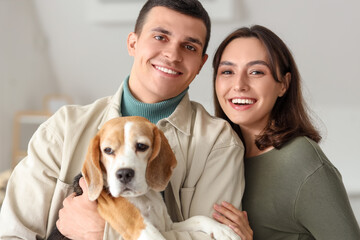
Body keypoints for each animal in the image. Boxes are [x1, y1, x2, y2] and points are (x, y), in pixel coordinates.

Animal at [47, 116, 239, 240]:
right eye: (107, 150)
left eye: (141, 146)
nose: (124, 174)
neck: (144, 197)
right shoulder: (140, 228)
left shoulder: (167, 225)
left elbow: (198, 218)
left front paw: (223, 230)